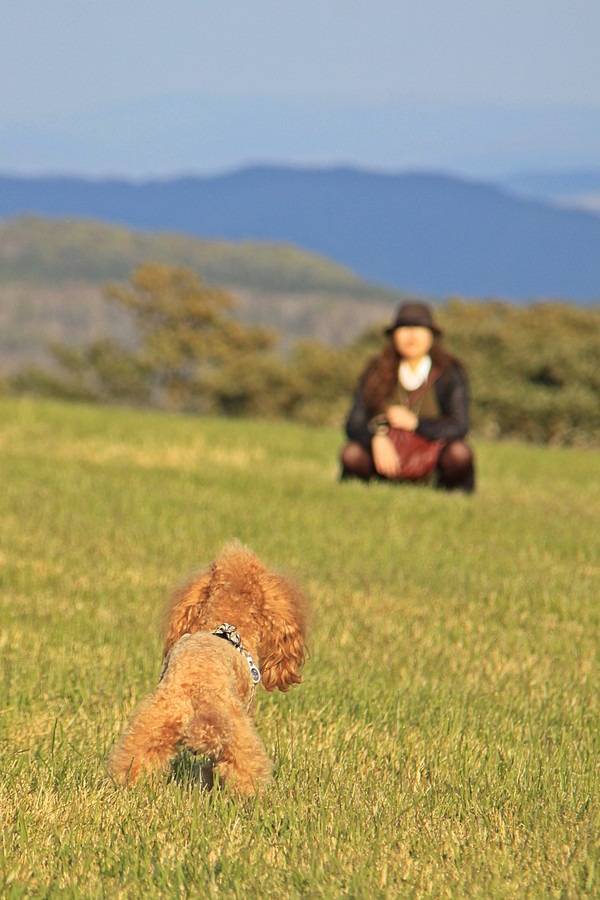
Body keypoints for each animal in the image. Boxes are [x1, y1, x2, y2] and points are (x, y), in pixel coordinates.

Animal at [106, 540, 310, 796]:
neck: (228, 621)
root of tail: (195, 698)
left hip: (151, 724)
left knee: (136, 761)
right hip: (235, 732)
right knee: (244, 770)